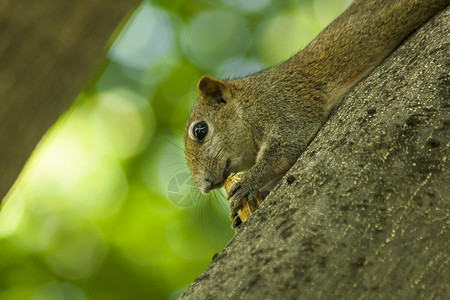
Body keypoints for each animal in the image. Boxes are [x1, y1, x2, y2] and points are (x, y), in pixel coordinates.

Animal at [184, 0, 450, 227]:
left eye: (200, 130)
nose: (205, 186)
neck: (248, 103)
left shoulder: (284, 106)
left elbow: (285, 148)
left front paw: (249, 180)